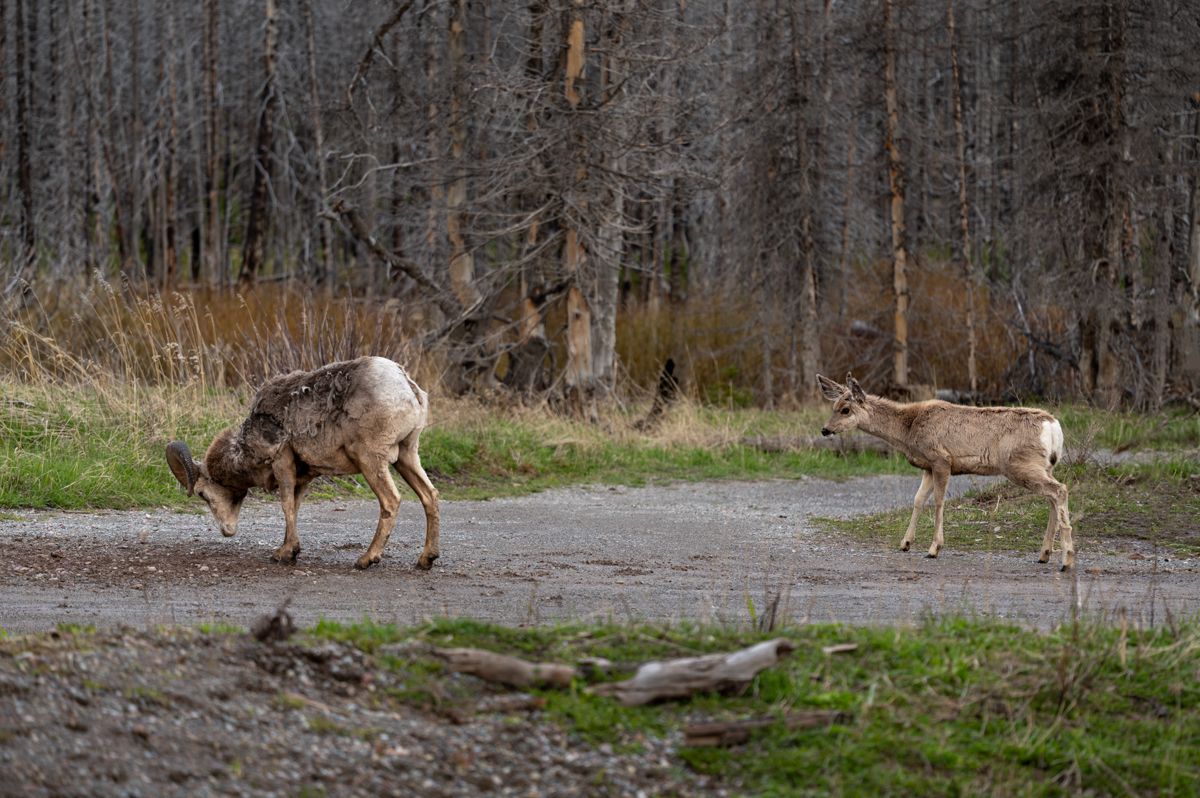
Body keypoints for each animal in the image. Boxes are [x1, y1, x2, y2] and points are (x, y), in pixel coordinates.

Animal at [165, 356, 440, 571]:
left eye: (202, 494)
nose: (227, 530)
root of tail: (408, 388)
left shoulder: (282, 461)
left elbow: (286, 505)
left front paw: (285, 554)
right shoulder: (305, 476)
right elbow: (295, 508)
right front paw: (288, 550)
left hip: (372, 460)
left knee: (391, 501)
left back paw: (366, 559)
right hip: (407, 456)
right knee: (429, 495)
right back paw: (426, 559)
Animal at [817, 374, 1075, 571]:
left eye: (846, 410)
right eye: (833, 407)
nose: (825, 430)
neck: (908, 430)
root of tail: (1053, 427)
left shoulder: (941, 459)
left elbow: (939, 501)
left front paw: (934, 548)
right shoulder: (928, 466)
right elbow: (918, 499)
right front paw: (905, 543)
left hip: (1020, 464)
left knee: (1059, 491)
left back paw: (1066, 559)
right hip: (1044, 465)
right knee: (1053, 496)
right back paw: (1044, 554)